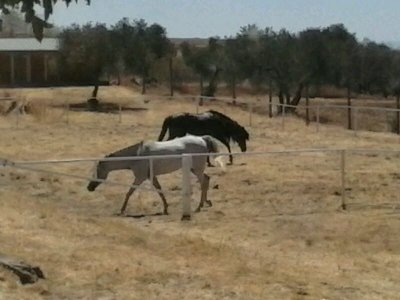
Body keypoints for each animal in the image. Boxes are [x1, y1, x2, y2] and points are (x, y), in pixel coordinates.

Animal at [86, 135, 222, 216]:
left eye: (98, 170)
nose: (89, 187)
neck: (137, 155)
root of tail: (202, 139)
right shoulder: (151, 176)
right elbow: (159, 190)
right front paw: (166, 209)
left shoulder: (140, 177)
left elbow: (129, 192)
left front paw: (122, 210)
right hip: (194, 169)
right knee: (207, 179)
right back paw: (206, 203)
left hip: (197, 169)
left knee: (204, 182)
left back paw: (199, 206)